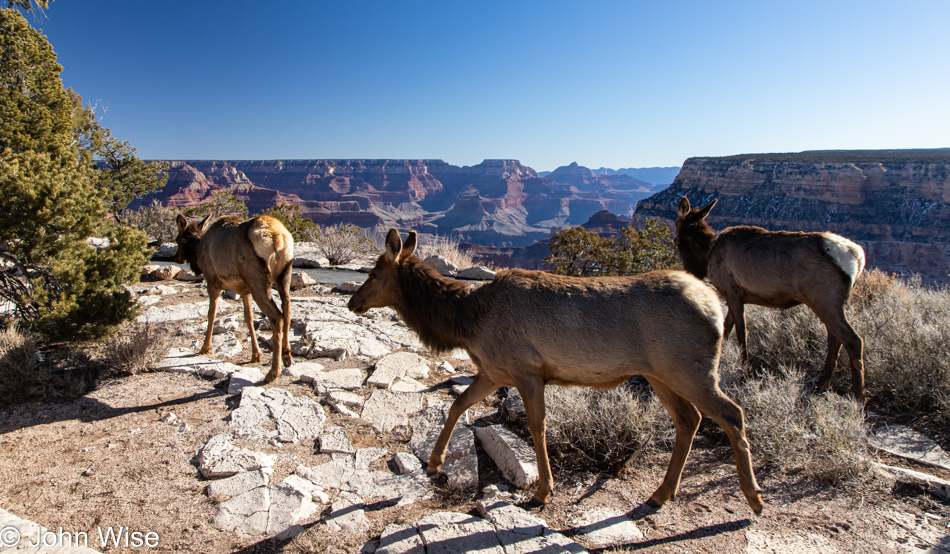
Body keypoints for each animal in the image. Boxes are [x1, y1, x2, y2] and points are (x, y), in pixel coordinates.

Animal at [175, 213, 294, 382]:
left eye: (178, 239)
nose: (176, 258)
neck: (198, 250)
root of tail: (278, 238)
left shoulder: (212, 280)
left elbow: (211, 314)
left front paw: (205, 347)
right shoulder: (245, 290)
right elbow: (248, 318)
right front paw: (255, 354)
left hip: (256, 277)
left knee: (276, 316)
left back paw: (273, 372)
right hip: (283, 275)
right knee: (287, 308)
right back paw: (286, 356)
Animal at [348, 227, 768, 512]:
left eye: (372, 273)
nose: (353, 302)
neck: (466, 322)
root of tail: (713, 304)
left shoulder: (526, 370)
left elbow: (537, 426)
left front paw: (542, 491)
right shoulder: (495, 371)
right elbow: (457, 406)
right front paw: (434, 463)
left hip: (690, 368)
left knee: (732, 413)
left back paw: (754, 498)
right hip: (659, 373)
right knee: (689, 419)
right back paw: (661, 494)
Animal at [676, 197, 872, 402]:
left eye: (676, 238)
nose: (691, 273)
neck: (707, 253)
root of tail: (857, 257)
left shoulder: (732, 292)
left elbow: (741, 333)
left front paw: (746, 372)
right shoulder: (735, 296)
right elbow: (726, 329)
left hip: (824, 299)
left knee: (852, 340)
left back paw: (858, 397)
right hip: (830, 303)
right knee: (834, 339)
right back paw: (821, 385)